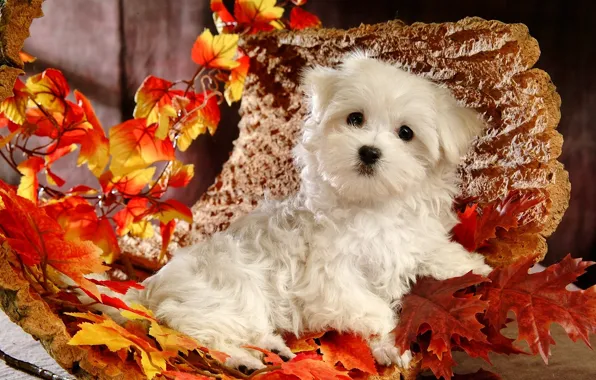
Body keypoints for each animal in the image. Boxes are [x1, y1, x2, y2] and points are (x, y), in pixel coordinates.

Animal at [121, 52, 488, 372]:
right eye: (355, 118)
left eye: (406, 133)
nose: (369, 152)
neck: (372, 205)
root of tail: (149, 288)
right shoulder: (330, 279)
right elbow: (373, 308)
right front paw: (391, 337)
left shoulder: (410, 236)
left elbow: (432, 249)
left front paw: (473, 266)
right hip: (228, 290)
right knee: (194, 327)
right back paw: (242, 360)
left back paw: (272, 349)